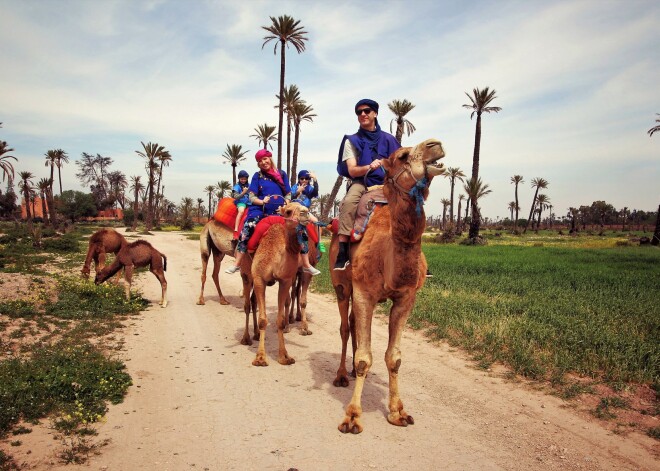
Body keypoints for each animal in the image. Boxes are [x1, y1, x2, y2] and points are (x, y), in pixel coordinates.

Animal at [240, 201, 312, 366]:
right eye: (289, 211)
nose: (305, 213)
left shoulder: (285, 280)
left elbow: (279, 320)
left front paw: (284, 356)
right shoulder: (259, 278)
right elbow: (263, 320)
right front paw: (260, 358)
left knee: (253, 301)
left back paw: (255, 334)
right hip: (246, 274)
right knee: (247, 304)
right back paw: (246, 338)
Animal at [330, 137, 448, 436]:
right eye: (403, 155)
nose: (435, 145)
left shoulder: (406, 297)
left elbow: (394, 357)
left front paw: (398, 412)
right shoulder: (363, 293)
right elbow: (364, 357)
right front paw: (352, 417)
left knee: (353, 327)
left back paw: (349, 372)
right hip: (341, 285)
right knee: (345, 327)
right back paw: (341, 375)